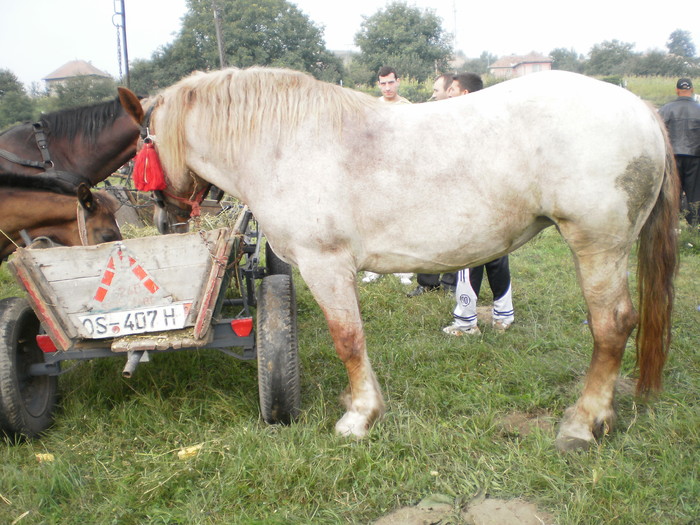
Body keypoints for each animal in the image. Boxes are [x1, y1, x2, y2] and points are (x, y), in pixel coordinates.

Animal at [117, 66, 676, 450]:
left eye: (140, 149)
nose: (163, 221)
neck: (285, 143)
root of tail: (641, 108)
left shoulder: (324, 265)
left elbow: (347, 338)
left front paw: (360, 416)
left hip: (597, 246)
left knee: (612, 325)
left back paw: (584, 422)